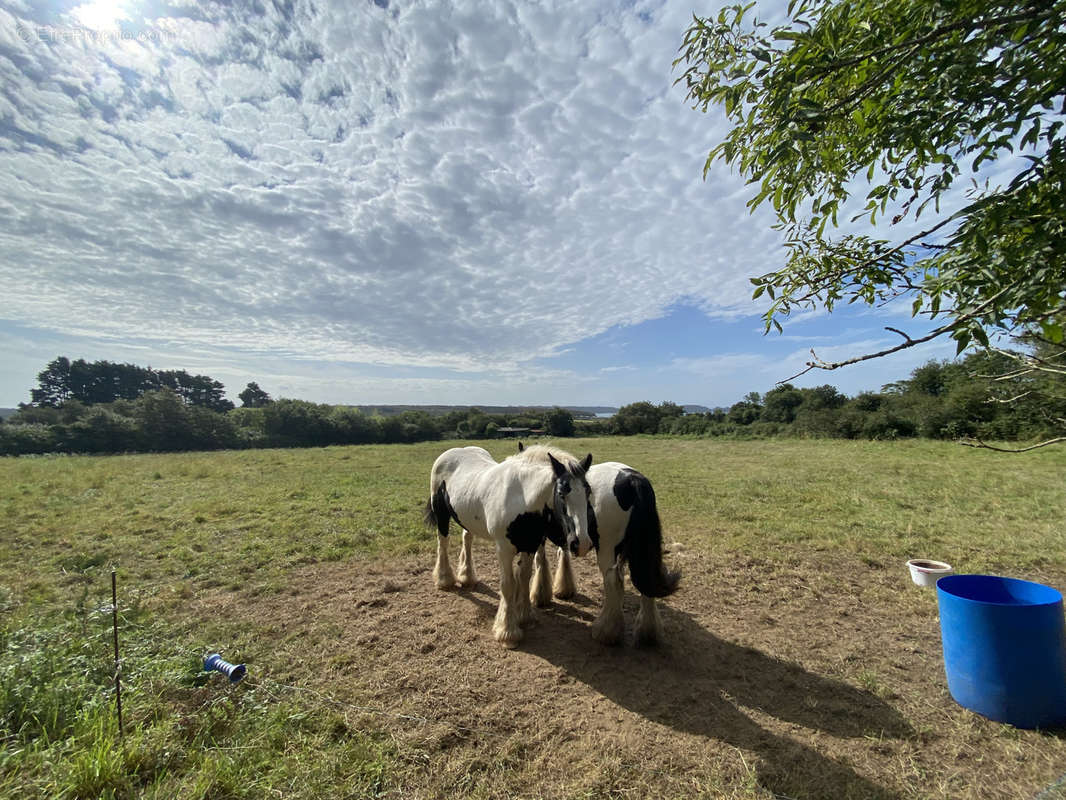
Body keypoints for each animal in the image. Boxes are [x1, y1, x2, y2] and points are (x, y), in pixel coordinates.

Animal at [424, 448, 596, 648]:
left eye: (588, 491)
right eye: (561, 493)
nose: (581, 543)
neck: (521, 499)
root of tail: (450, 453)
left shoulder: (529, 546)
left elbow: (524, 578)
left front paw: (525, 617)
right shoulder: (504, 550)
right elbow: (508, 584)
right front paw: (507, 631)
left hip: (466, 519)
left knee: (467, 538)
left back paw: (467, 577)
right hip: (441, 515)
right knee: (442, 543)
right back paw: (444, 580)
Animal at [520, 445, 677, 652]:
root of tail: (633, 479)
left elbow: (541, 560)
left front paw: (540, 596)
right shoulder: (571, 538)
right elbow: (564, 555)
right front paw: (564, 589)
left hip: (607, 550)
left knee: (614, 581)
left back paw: (605, 632)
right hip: (637, 550)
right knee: (644, 581)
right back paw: (647, 634)